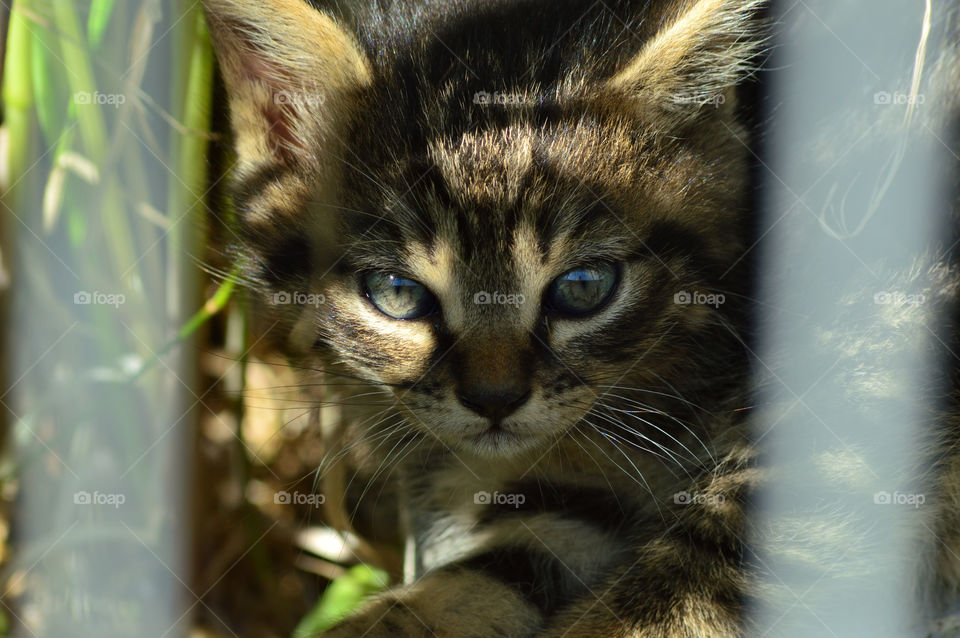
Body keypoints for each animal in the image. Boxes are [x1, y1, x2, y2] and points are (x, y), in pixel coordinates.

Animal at [202, 1, 960, 638]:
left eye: (584, 288)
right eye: (396, 292)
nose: (495, 400)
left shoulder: (873, 354)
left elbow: (702, 566)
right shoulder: (580, 475)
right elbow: (513, 557)